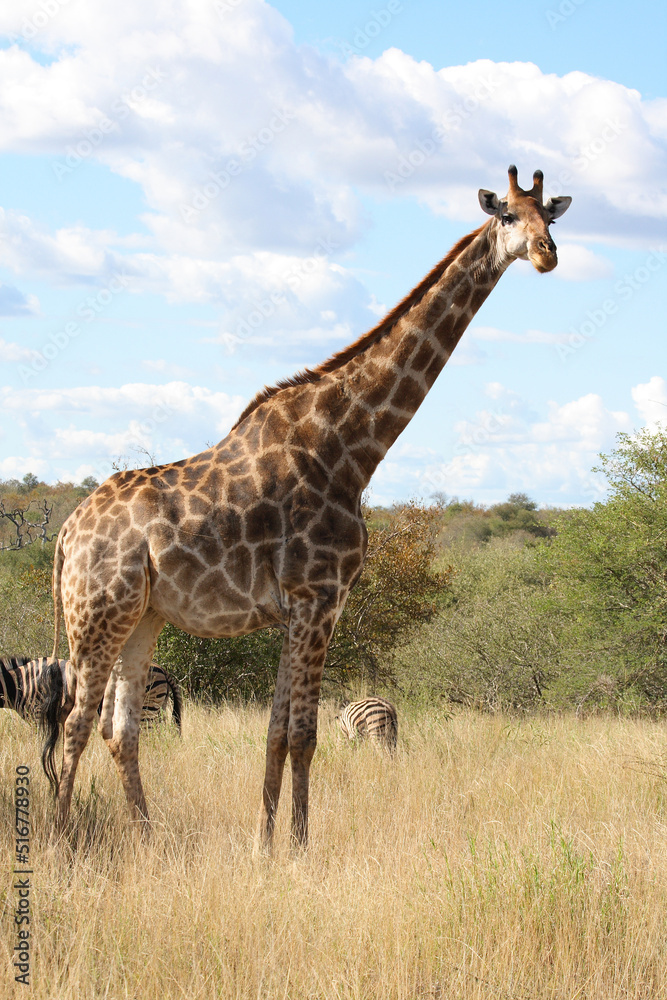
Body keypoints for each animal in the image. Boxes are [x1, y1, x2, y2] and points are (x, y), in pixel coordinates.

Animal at [47, 166, 570, 848]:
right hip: (97, 613)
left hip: (143, 618)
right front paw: (296, 846)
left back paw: (149, 837)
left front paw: (266, 842)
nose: (546, 254)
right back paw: (59, 843)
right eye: (507, 214)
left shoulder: (302, 607)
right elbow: (304, 735)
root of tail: (66, 534)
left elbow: (276, 733)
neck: (350, 447)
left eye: (550, 216)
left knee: (120, 730)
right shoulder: (318, 596)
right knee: (75, 724)